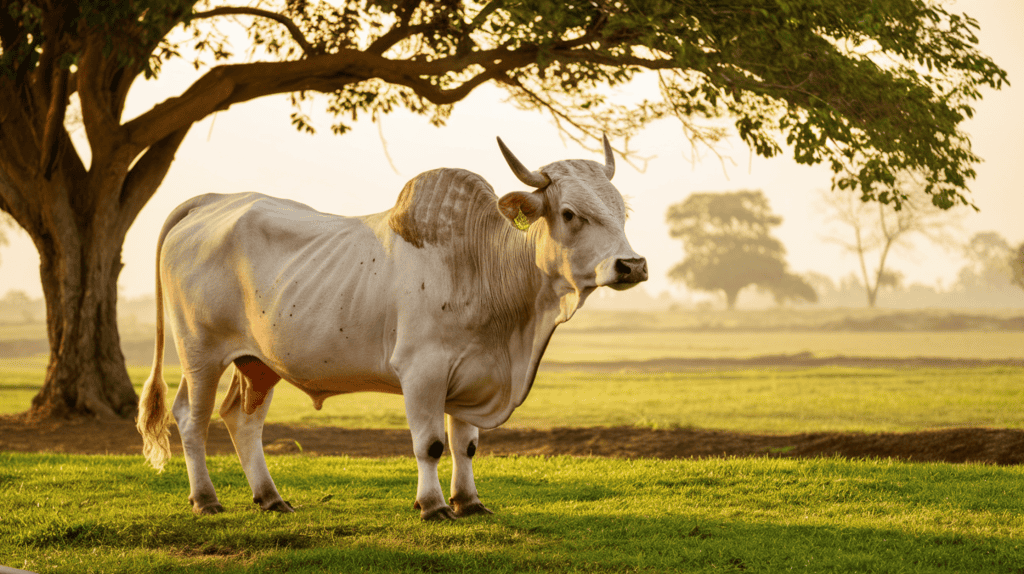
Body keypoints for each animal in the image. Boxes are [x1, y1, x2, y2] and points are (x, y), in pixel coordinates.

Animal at [136, 136, 648, 520]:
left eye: (622, 211)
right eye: (569, 213)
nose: (633, 264)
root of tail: (211, 201)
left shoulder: (472, 373)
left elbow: (466, 445)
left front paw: (469, 501)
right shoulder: (422, 371)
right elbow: (432, 444)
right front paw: (433, 506)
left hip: (258, 362)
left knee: (243, 419)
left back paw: (270, 497)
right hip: (200, 353)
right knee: (192, 418)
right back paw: (205, 499)